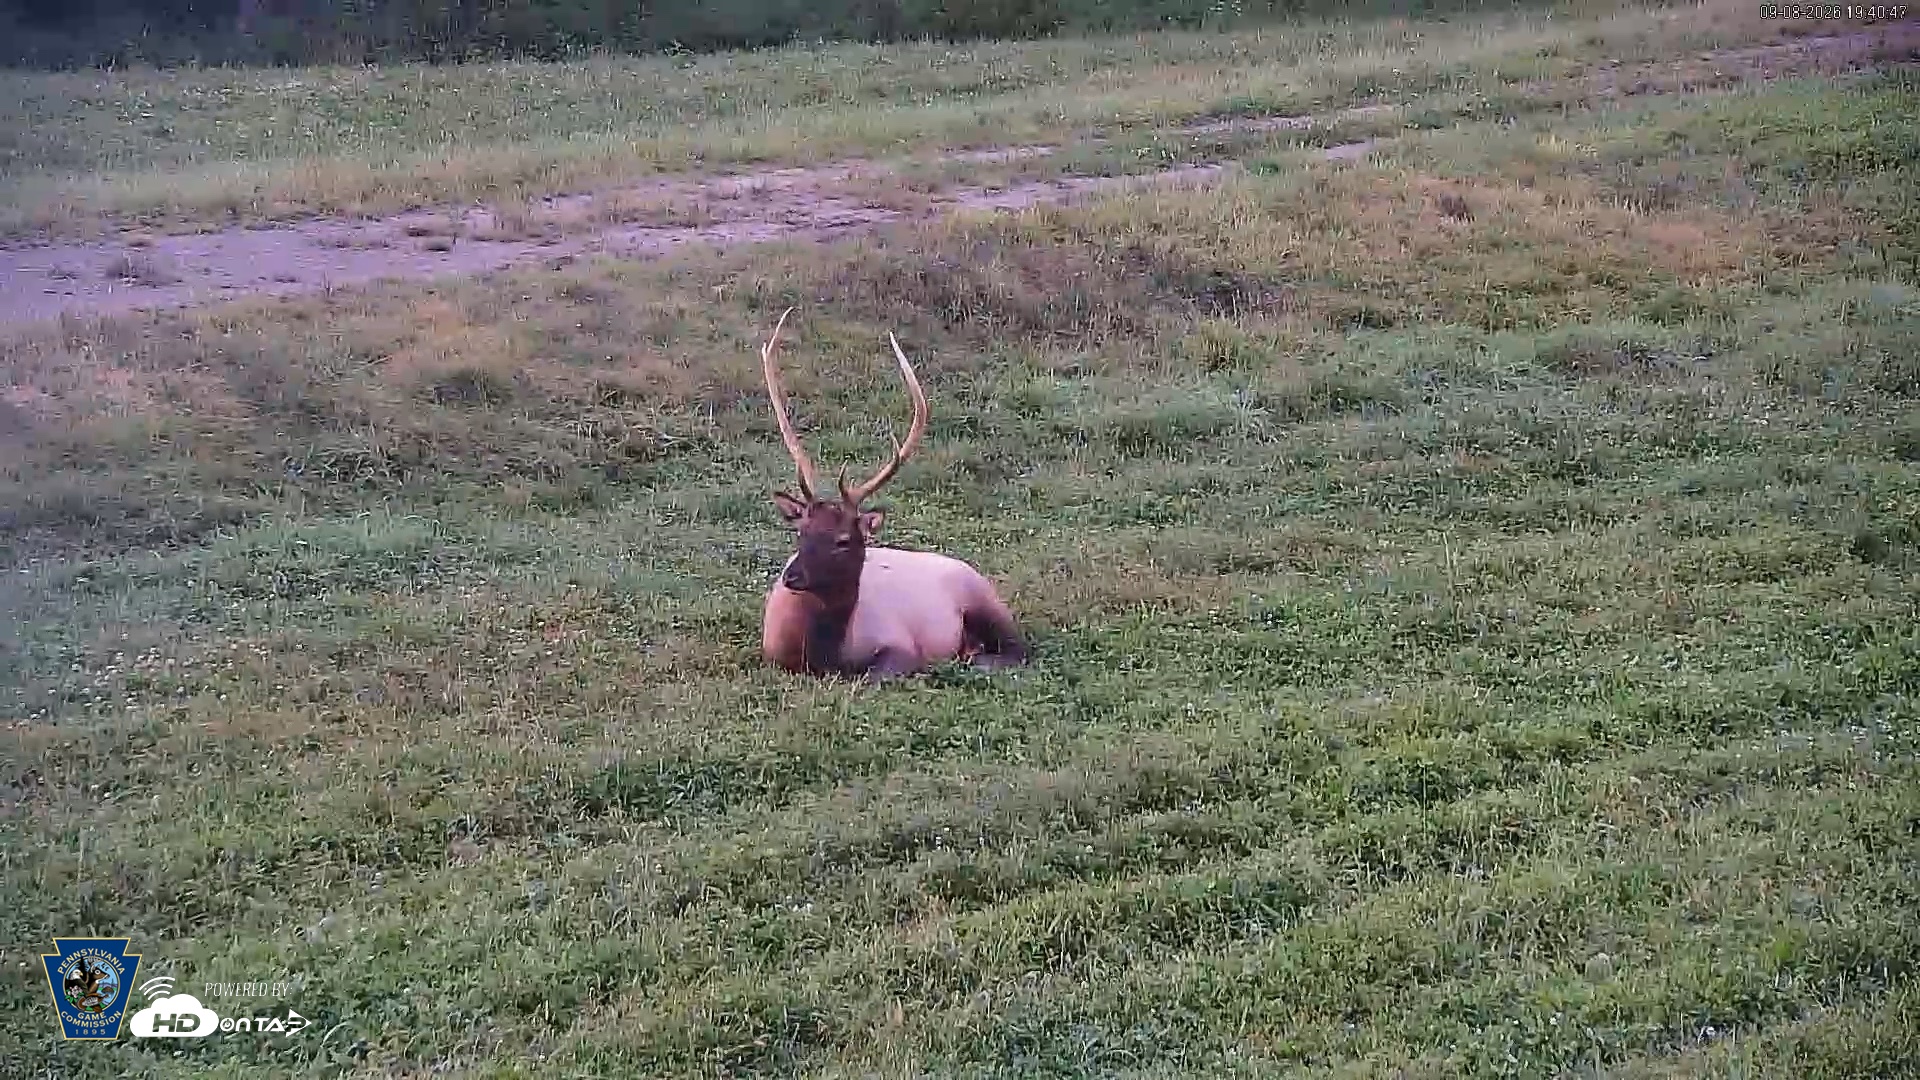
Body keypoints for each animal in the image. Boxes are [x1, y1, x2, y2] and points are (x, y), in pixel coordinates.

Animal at [756, 307, 1028, 681]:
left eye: (843, 540)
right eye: (801, 532)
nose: (792, 576)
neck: (822, 654)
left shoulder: (900, 644)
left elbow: (878, 673)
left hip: (986, 600)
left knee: (1019, 648)